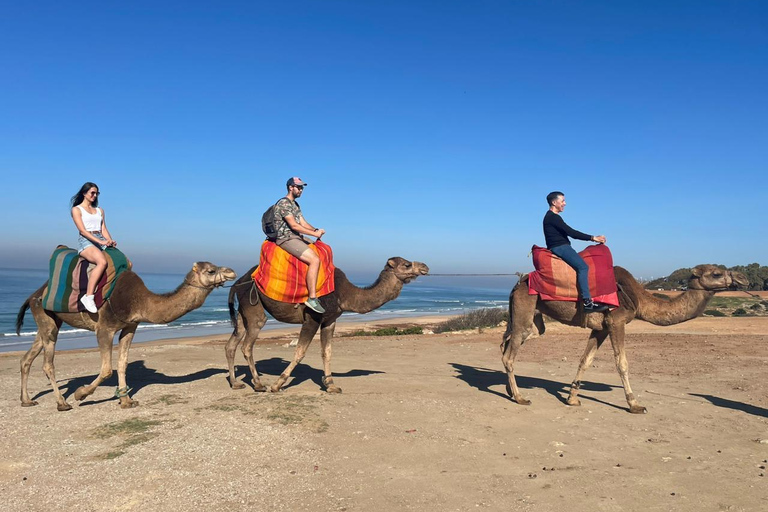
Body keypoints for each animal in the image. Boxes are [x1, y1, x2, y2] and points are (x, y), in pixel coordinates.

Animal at [16, 262, 236, 410]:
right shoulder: (104, 328)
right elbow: (107, 369)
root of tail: (33, 294)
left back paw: (27, 400)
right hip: (44, 315)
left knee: (27, 357)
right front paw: (81, 394)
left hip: (50, 320)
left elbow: (122, 364)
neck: (140, 301)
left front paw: (126, 400)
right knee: (48, 363)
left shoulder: (130, 327)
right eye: (211, 270)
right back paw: (62, 402)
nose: (231, 271)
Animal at [225, 256, 428, 392]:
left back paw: (236, 383)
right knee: (247, 344)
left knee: (232, 343)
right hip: (252, 303)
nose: (425, 266)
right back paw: (259, 384)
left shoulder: (330, 320)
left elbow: (327, 352)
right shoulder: (313, 318)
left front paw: (331, 386)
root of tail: (237, 282)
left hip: (243, 311)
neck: (345, 294)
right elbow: (300, 352)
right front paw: (277, 385)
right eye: (407, 264)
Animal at [500, 264, 748, 412]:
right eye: (716, 273)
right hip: (525, 307)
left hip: (533, 319)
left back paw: (510, 391)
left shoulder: (601, 328)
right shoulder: (616, 321)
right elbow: (622, 363)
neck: (639, 299)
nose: (743, 278)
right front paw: (635, 404)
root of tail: (517, 284)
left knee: (509, 342)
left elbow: (585, 361)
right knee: (510, 354)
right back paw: (520, 397)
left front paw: (572, 398)